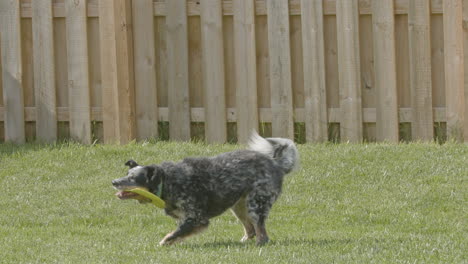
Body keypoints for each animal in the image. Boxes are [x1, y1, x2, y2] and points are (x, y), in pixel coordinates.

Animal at [111, 132, 298, 245]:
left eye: (133, 178)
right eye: (127, 173)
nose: (114, 181)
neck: (168, 181)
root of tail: (276, 164)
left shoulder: (197, 218)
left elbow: (174, 233)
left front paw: (164, 242)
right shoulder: (185, 218)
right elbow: (179, 232)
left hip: (255, 205)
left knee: (262, 233)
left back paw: (259, 244)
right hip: (238, 207)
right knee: (250, 230)